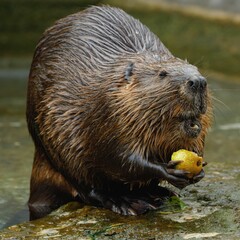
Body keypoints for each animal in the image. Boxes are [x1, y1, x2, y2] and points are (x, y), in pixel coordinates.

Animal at [26, 5, 212, 219]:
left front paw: (199, 170)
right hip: (53, 149)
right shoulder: (106, 112)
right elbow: (120, 157)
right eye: (162, 74)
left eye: (196, 69)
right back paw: (127, 202)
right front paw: (168, 170)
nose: (198, 82)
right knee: (86, 187)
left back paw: (160, 193)